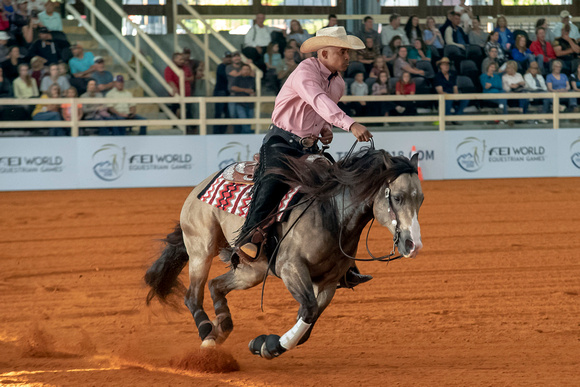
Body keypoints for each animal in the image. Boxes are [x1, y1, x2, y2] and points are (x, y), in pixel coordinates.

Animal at [144, 146, 426, 360]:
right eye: (397, 197)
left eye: (421, 199)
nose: (414, 245)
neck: (332, 214)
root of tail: (201, 186)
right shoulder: (291, 268)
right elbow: (308, 309)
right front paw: (269, 345)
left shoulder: (329, 283)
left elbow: (309, 323)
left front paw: (264, 344)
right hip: (201, 248)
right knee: (193, 295)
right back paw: (207, 334)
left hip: (252, 271)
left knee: (215, 285)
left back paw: (221, 327)